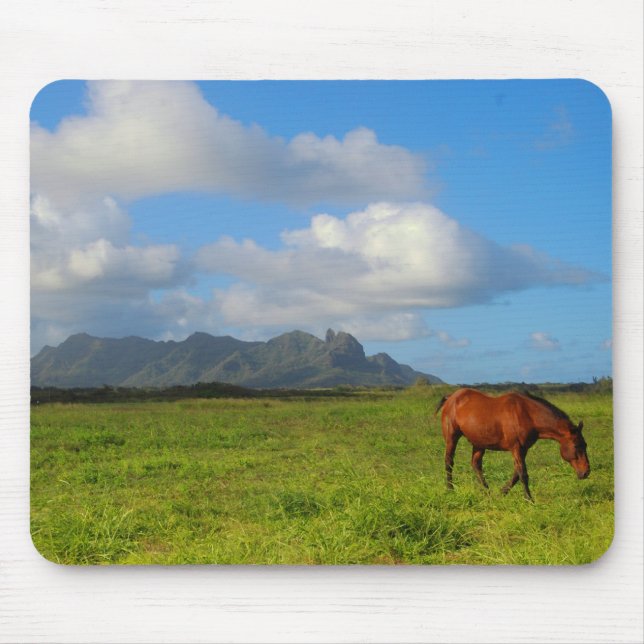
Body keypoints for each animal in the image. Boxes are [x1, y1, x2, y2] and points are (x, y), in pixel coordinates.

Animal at [434, 388, 590, 501]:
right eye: (577, 446)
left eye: (585, 445)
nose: (586, 472)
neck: (526, 414)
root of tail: (451, 397)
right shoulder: (516, 448)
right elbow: (523, 474)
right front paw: (529, 499)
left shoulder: (523, 449)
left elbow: (516, 474)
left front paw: (502, 492)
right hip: (452, 438)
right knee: (449, 462)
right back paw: (450, 489)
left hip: (479, 443)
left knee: (476, 465)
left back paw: (487, 492)